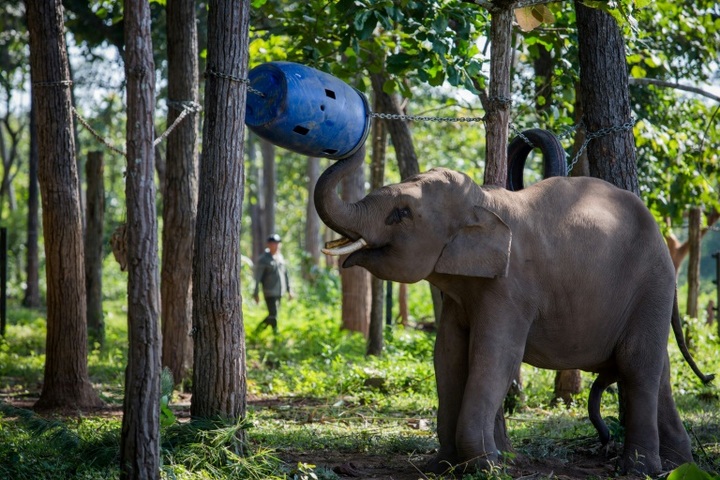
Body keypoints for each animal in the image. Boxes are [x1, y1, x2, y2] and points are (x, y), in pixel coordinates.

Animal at [314, 134, 714, 475]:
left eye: (401, 213)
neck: (487, 201)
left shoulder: (511, 289)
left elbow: (495, 356)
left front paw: (486, 466)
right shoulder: (462, 295)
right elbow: (448, 356)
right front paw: (442, 466)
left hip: (652, 285)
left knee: (638, 365)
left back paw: (639, 470)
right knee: (658, 370)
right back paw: (678, 465)